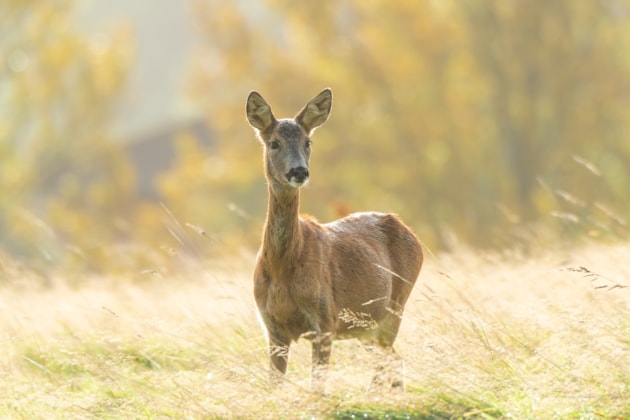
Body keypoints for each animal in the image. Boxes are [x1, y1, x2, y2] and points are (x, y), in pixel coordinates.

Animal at [247, 87, 424, 392]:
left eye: (308, 141)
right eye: (274, 143)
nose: (299, 171)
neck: (283, 268)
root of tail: (407, 229)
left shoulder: (325, 319)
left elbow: (317, 388)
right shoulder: (272, 326)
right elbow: (275, 386)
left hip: (395, 306)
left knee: (389, 361)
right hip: (366, 327)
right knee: (392, 360)